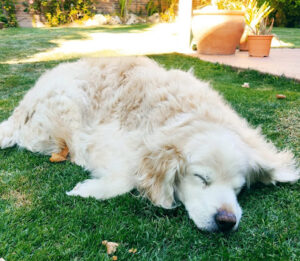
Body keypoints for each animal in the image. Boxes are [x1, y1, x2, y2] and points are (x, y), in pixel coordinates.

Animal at [0, 55, 298, 231]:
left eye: (239, 188)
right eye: (201, 178)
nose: (227, 221)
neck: (188, 117)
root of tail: (24, 103)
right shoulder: (102, 140)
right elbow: (129, 177)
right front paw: (87, 189)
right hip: (68, 105)